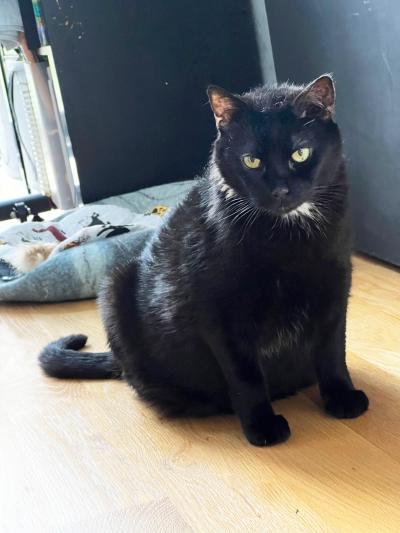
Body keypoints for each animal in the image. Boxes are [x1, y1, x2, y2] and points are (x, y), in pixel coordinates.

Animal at [40, 72, 368, 442]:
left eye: (301, 153)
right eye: (251, 160)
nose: (280, 190)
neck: (287, 236)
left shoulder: (335, 283)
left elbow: (332, 349)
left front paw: (342, 396)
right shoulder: (219, 314)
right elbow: (245, 375)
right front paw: (262, 426)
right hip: (113, 288)